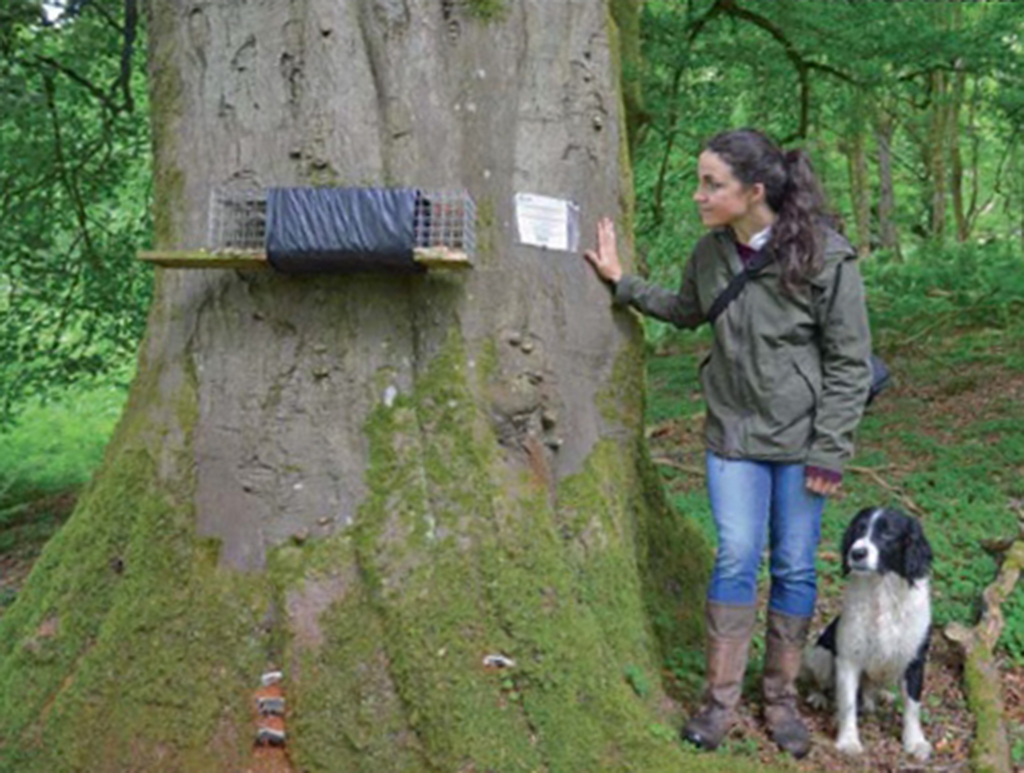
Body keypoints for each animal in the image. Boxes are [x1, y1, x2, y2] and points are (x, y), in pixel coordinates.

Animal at [798, 507, 937, 761]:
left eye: (888, 534)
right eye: (859, 529)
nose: (857, 552)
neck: (882, 592)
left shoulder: (915, 660)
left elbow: (912, 706)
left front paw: (915, 741)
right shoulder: (848, 659)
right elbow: (848, 703)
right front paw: (848, 740)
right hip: (821, 654)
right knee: (819, 680)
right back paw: (819, 697)